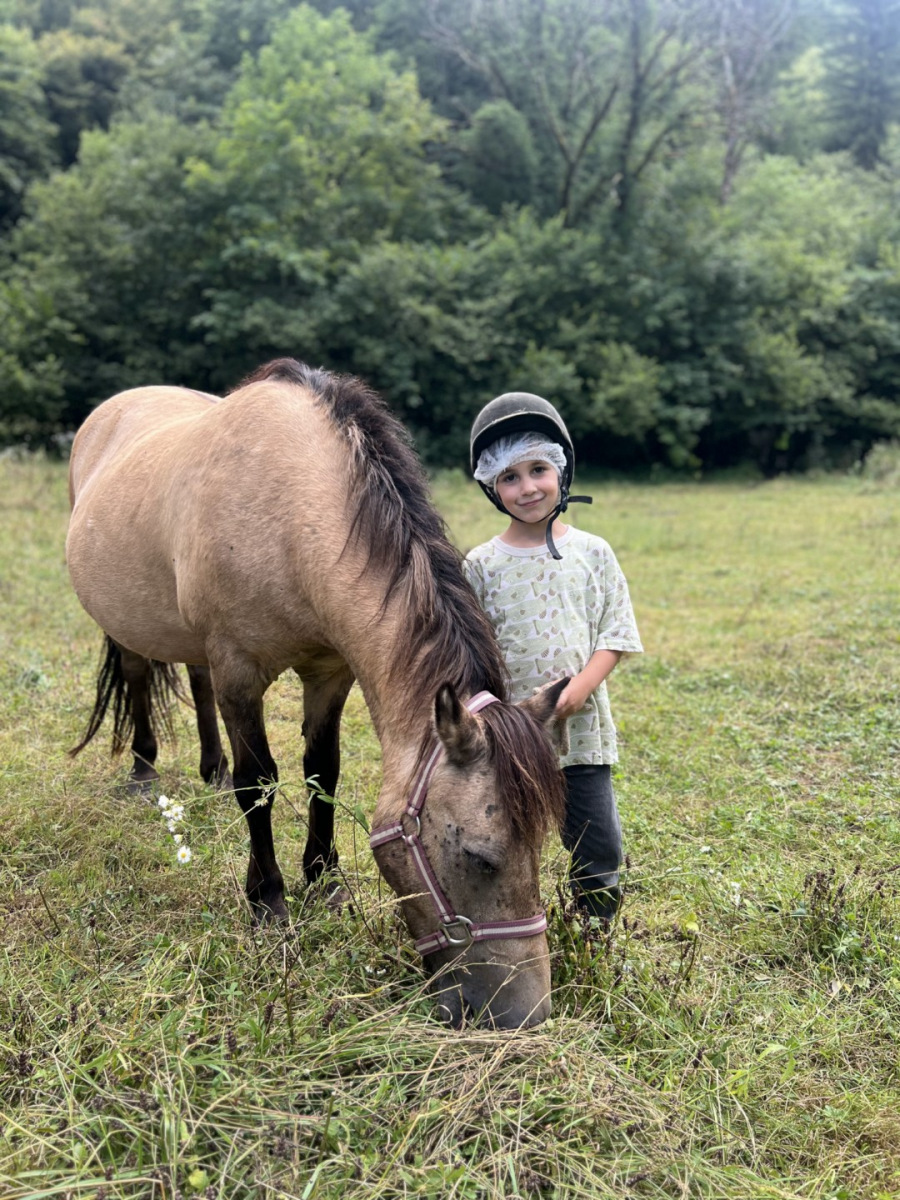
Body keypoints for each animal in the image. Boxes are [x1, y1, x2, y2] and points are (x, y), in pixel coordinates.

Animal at [66, 358, 569, 1029]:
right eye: (480, 856)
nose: (527, 1014)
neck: (291, 510)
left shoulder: (330, 673)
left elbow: (321, 772)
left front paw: (324, 881)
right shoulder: (239, 671)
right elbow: (259, 784)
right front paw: (269, 900)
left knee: (194, 682)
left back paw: (209, 768)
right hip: (127, 627)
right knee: (141, 677)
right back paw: (145, 770)